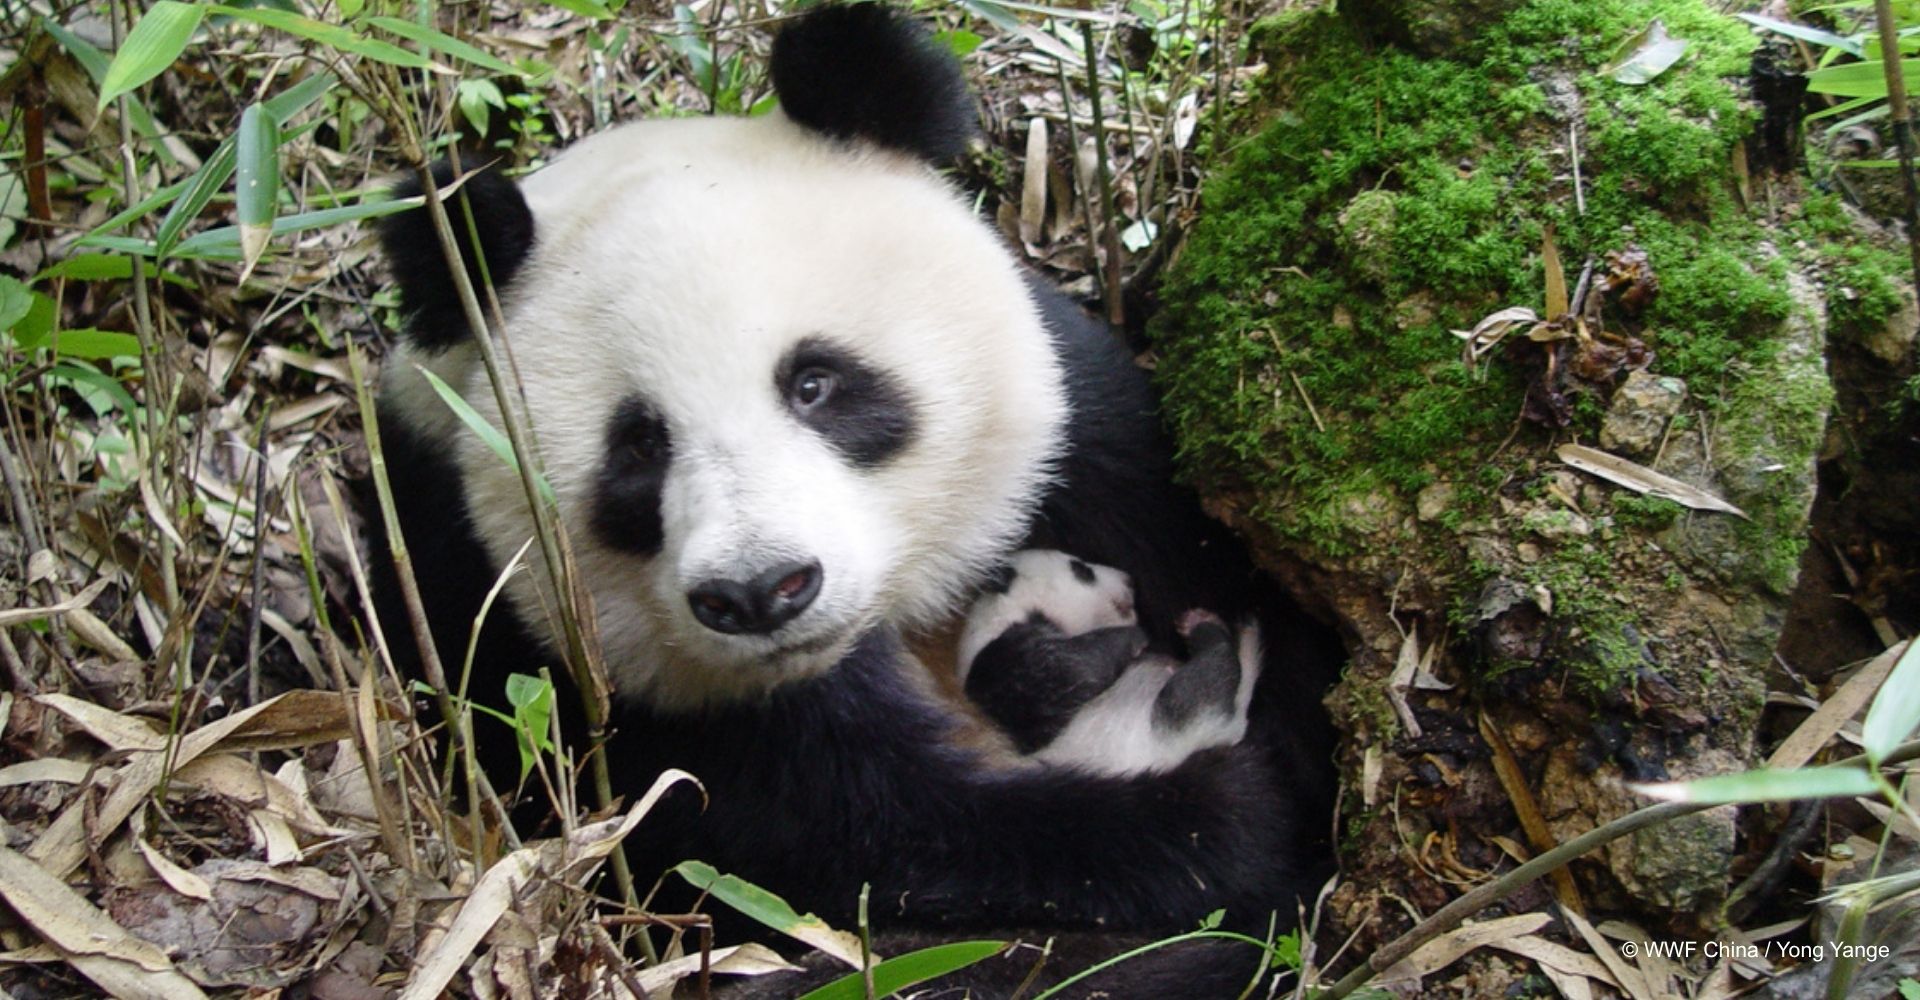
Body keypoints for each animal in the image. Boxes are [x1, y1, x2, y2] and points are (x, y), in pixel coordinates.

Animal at [958, 549, 1264, 775]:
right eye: (1082, 570)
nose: (1130, 580)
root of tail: (1229, 729)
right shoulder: (996, 660)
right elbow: (1059, 672)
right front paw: (1133, 638)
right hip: (1165, 733)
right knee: (1192, 692)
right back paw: (1205, 631)